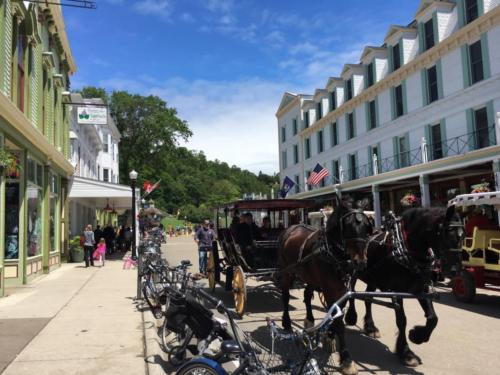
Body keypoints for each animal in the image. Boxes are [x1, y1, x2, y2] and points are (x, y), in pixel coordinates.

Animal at [280, 195, 374, 374]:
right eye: (348, 226)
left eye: (367, 226)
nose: (360, 262)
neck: (333, 252)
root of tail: (292, 227)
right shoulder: (329, 289)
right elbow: (339, 323)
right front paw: (347, 359)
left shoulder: (344, 289)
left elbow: (336, 315)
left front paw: (329, 336)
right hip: (287, 272)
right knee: (286, 296)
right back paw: (286, 322)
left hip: (309, 276)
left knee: (307, 295)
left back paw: (309, 320)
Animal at [344, 206, 464, 368]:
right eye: (446, 232)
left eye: (463, 235)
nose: (455, 270)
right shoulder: (397, 291)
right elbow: (402, 321)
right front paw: (406, 353)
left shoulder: (421, 289)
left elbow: (433, 318)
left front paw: (417, 336)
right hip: (353, 272)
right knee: (351, 291)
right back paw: (351, 316)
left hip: (373, 278)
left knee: (368, 299)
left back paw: (370, 327)